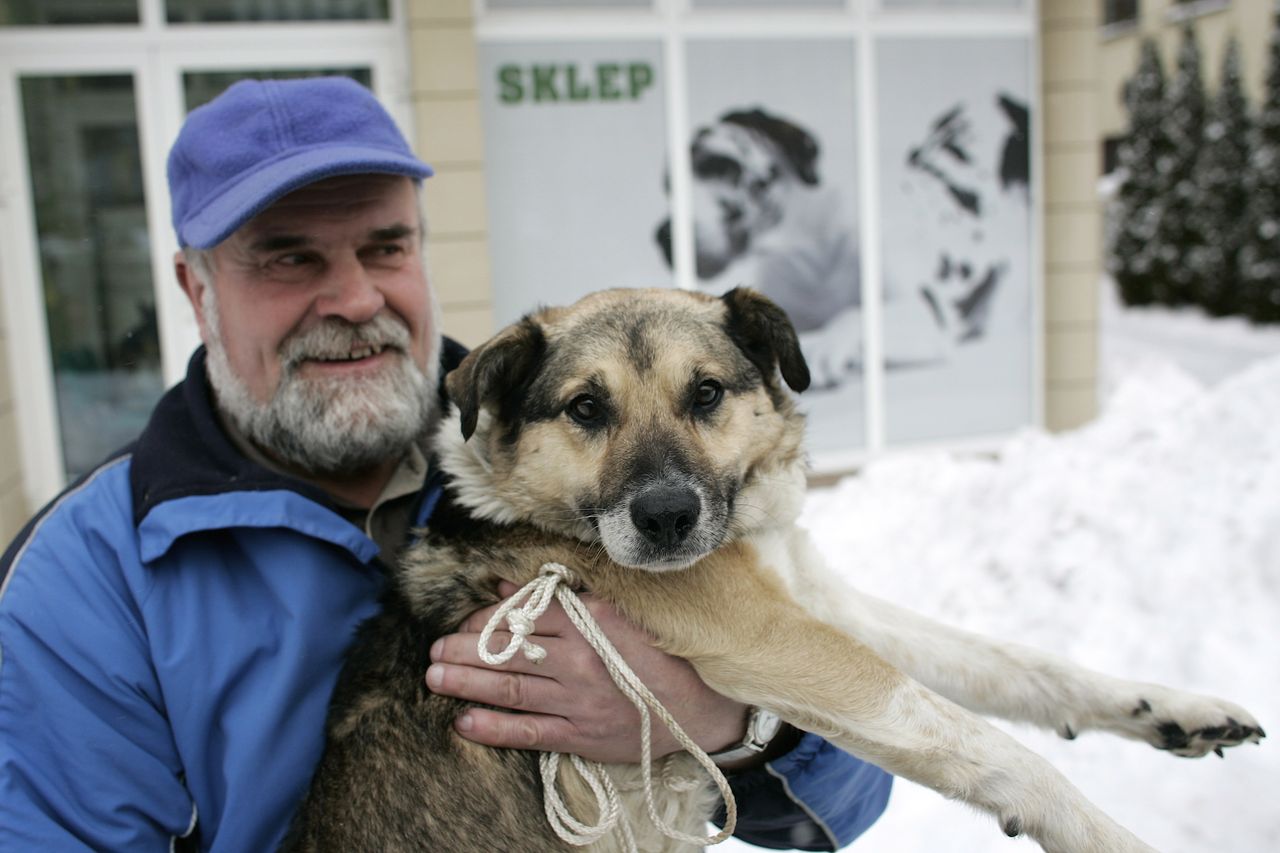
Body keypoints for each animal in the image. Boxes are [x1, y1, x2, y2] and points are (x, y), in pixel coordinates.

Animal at [282, 286, 1259, 850]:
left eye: (707, 392)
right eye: (587, 407)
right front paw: (1105, 834)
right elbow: (984, 740)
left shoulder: (820, 604)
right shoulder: (774, 637)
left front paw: (1171, 708)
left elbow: (1016, 667)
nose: (666, 517)